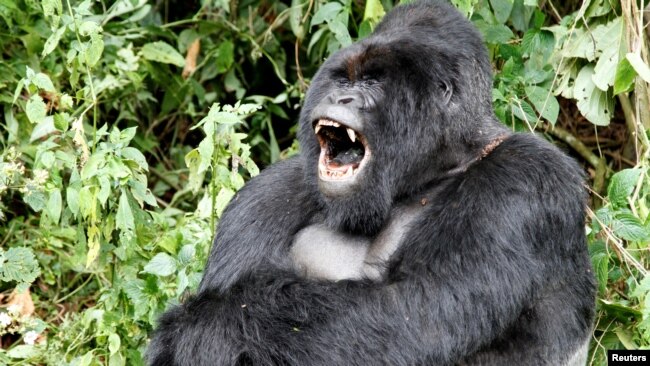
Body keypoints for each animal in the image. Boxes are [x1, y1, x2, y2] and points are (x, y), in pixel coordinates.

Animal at [149, 1, 596, 364]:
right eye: (342, 81)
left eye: (372, 83)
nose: (341, 98)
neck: (440, 163)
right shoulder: (267, 193)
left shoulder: (525, 178)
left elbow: (413, 311)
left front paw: (211, 329)